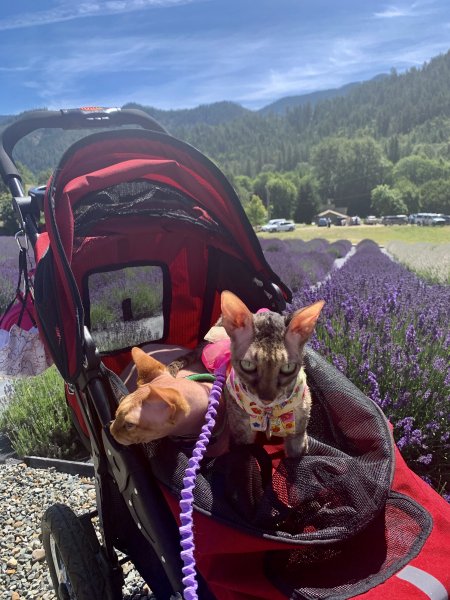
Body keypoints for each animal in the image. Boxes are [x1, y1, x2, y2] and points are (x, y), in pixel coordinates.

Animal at [219, 290, 325, 458]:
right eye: (248, 365)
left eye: (288, 367)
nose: (266, 399)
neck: (268, 413)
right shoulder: (241, 432)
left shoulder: (299, 429)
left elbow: (296, 452)